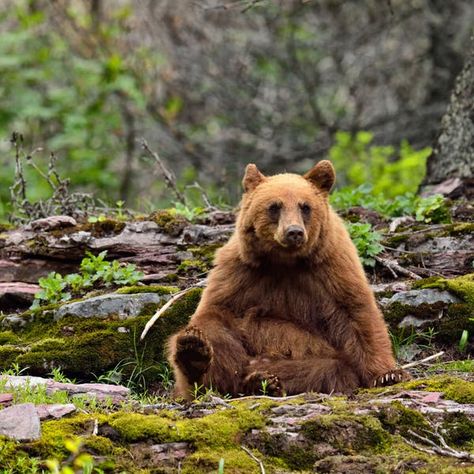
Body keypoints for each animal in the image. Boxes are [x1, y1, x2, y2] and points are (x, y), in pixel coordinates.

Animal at [168, 161, 412, 398]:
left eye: (305, 206)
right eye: (274, 206)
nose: (294, 232)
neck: (285, 262)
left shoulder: (332, 268)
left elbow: (357, 314)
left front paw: (388, 374)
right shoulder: (238, 271)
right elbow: (214, 313)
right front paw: (196, 347)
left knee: (323, 368)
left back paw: (264, 380)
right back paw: (196, 354)